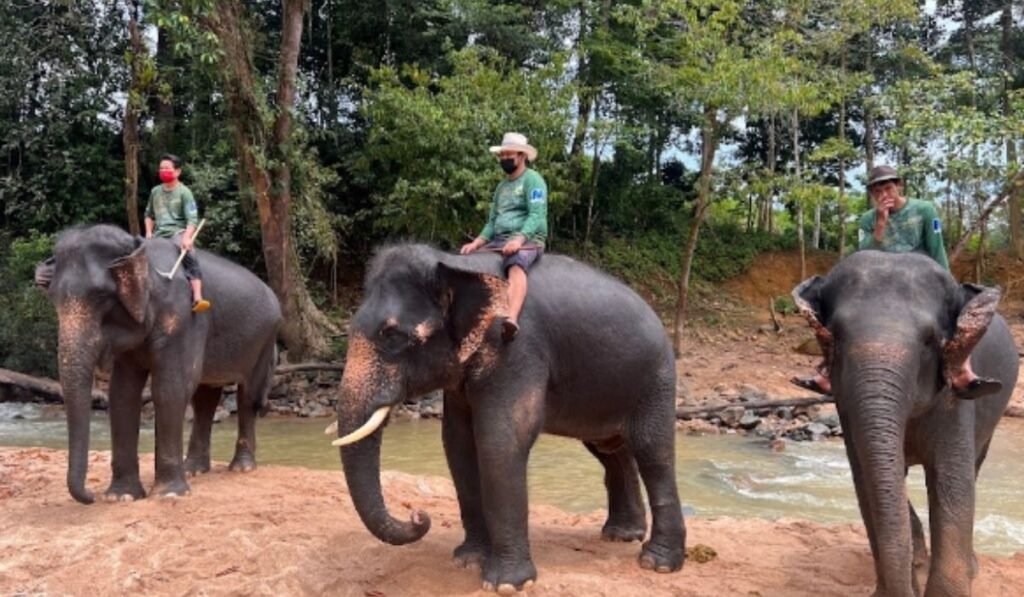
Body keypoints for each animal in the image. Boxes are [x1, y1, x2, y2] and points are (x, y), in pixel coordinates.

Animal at [35, 224, 281, 504]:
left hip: (264, 339)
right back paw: (193, 470)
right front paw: (121, 497)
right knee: (205, 399)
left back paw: (241, 468)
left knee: (247, 397)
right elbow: (122, 394)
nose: (90, 497)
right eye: (53, 298)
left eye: (101, 296)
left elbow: (170, 389)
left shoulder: (183, 318)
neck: (142, 255)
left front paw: (169, 493)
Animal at [330, 243, 685, 594]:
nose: (419, 517)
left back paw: (658, 563)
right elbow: (458, 444)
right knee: (611, 450)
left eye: (392, 336)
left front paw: (506, 584)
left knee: (653, 453)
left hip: (656, 380)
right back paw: (621, 535)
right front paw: (468, 561)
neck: (456, 265)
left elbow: (500, 441)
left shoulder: (515, 349)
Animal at [793, 250, 1018, 597]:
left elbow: (953, 482)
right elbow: (866, 480)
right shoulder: (846, 406)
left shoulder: (952, 399)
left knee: (976, 463)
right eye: (836, 335)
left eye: (929, 341)